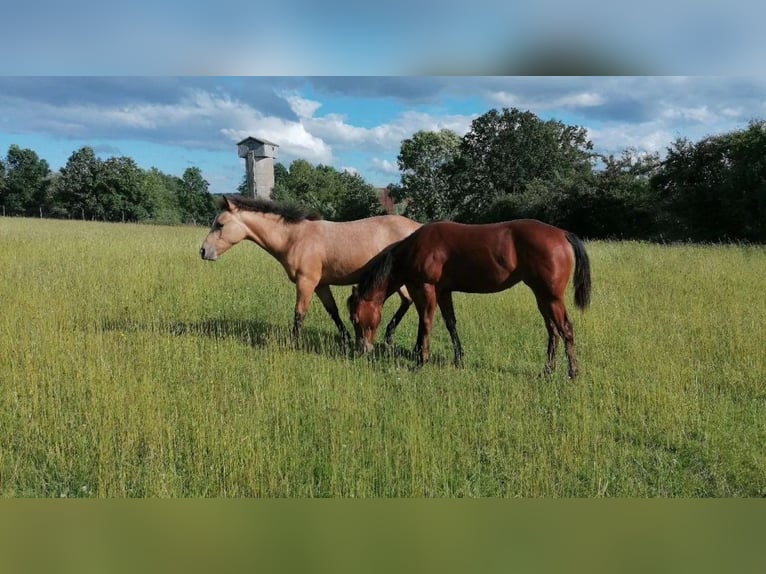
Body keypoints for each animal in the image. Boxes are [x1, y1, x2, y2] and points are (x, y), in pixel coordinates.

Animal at [201, 195, 424, 346]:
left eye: (220, 224)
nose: (203, 251)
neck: (295, 238)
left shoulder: (306, 282)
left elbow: (299, 313)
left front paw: (293, 343)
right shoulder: (321, 284)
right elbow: (333, 311)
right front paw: (346, 339)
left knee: (410, 301)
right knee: (407, 301)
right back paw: (388, 337)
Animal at [348, 219, 592, 378]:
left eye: (355, 319)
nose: (361, 350)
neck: (414, 249)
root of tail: (562, 233)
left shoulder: (425, 288)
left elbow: (425, 323)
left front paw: (420, 361)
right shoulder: (443, 292)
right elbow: (450, 323)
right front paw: (458, 358)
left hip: (552, 297)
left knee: (565, 329)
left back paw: (573, 373)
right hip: (542, 296)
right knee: (553, 330)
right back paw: (548, 371)